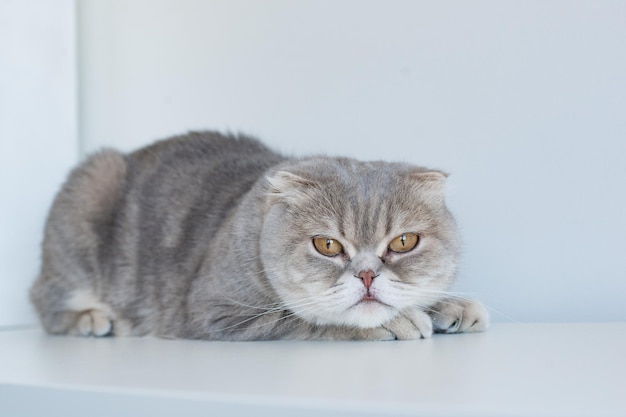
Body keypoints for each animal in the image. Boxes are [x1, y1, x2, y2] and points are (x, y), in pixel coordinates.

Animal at [29, 132, 488, 340]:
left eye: (402, 243)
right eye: (327, 245)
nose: (367, 275)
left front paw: (452, 305)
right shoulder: (214, 312)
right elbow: (300, 320)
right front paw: (394, 321)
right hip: (92, 187)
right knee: (45, 301)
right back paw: (92, 318)